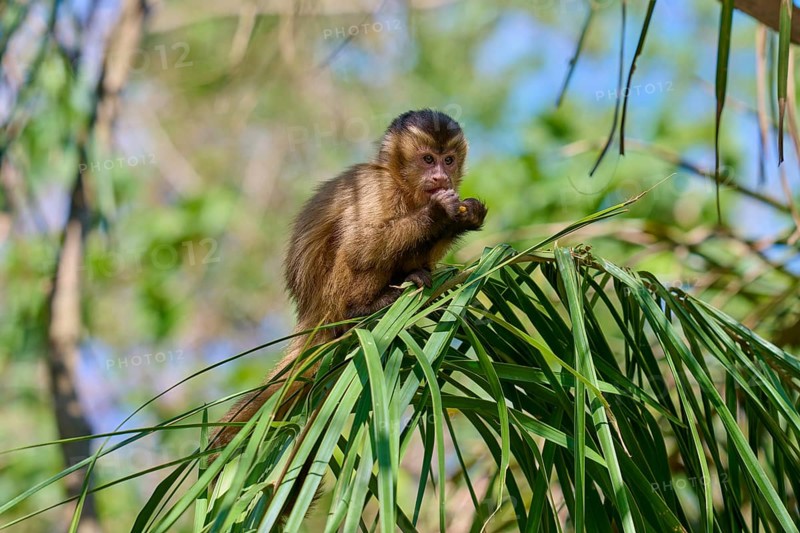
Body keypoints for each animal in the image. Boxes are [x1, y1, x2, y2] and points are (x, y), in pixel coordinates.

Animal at [210, 109, 486, 459]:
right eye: (428, 159)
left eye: (448, 160)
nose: (440, 177)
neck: (401, 183)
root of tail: (311, 313)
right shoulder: (379, 188)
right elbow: (360, 247)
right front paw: (439, 213)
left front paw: (465, 217)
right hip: (331, 296)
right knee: (354, 250)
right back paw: (362, 308)